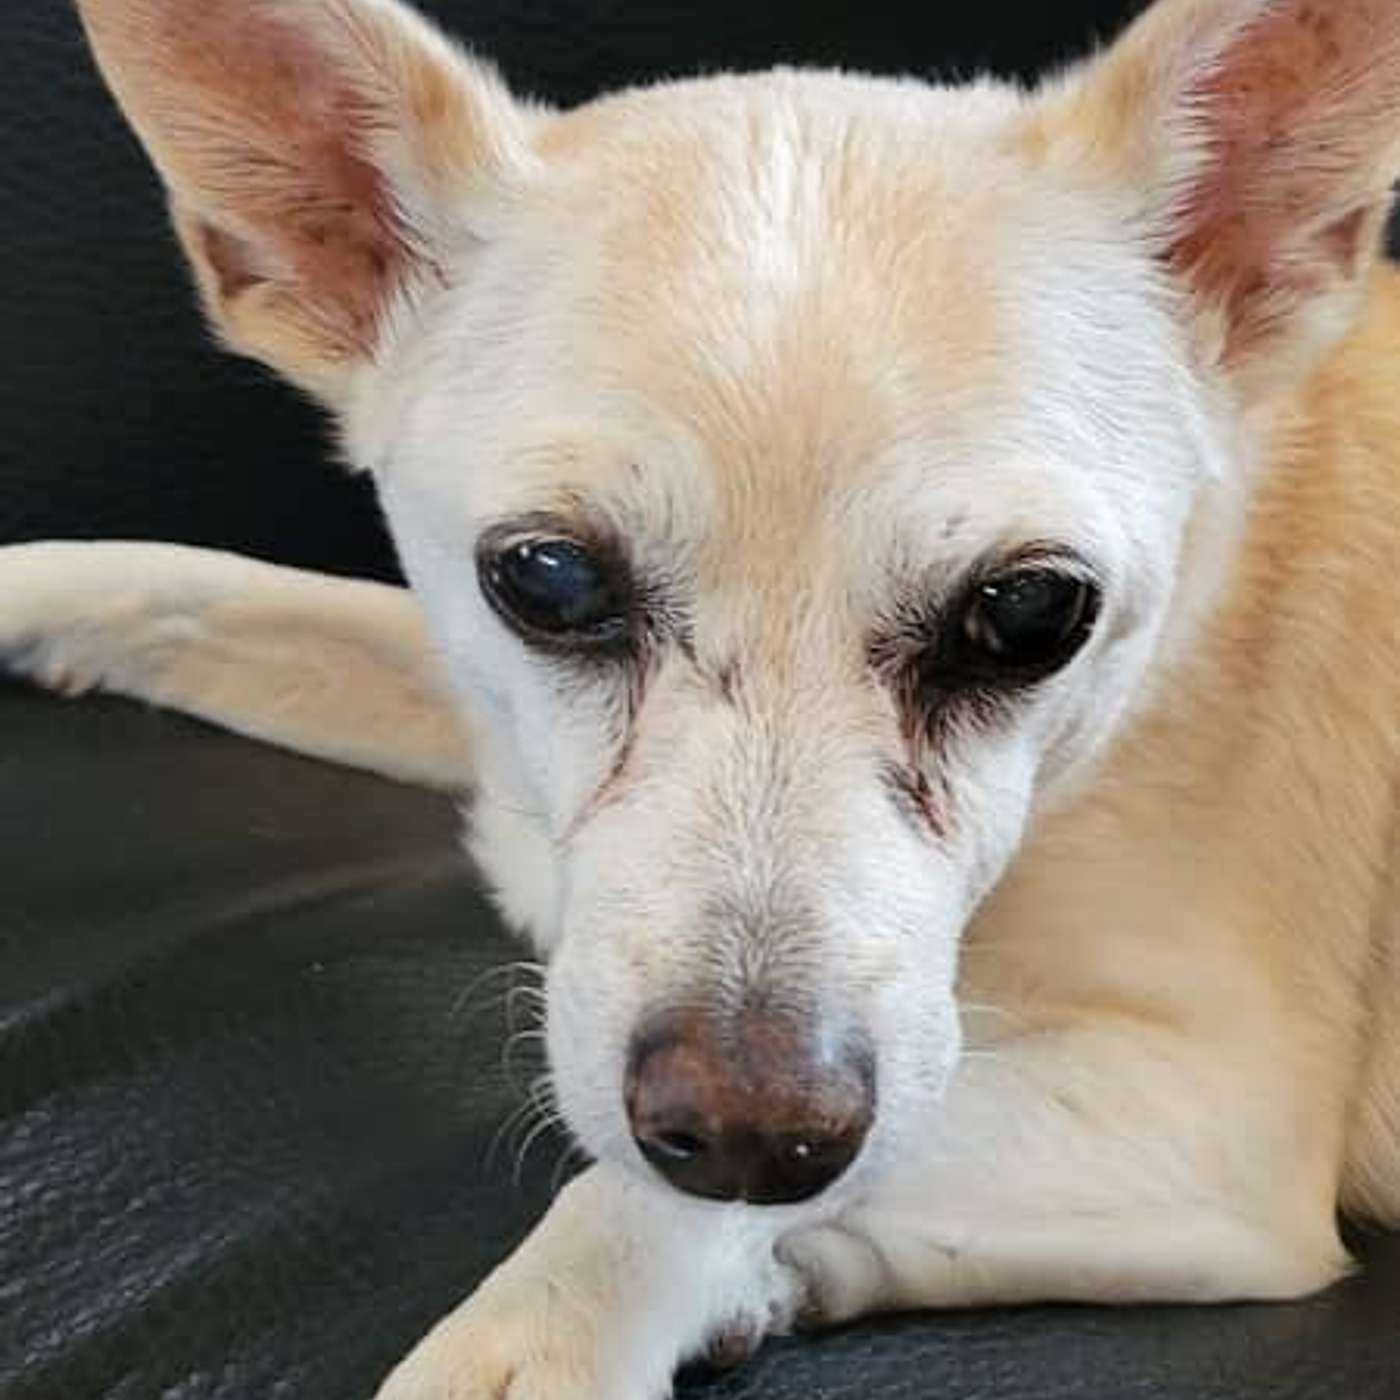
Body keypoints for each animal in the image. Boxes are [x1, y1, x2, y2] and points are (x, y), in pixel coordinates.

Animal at [5, 0, 1400, 1395]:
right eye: (548, 578)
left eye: (1030, 612)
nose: (752, 1131)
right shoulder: (477, 713)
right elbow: (200, 588)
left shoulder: (1201, 1114)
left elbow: (627, 1205)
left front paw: (548, 1337)